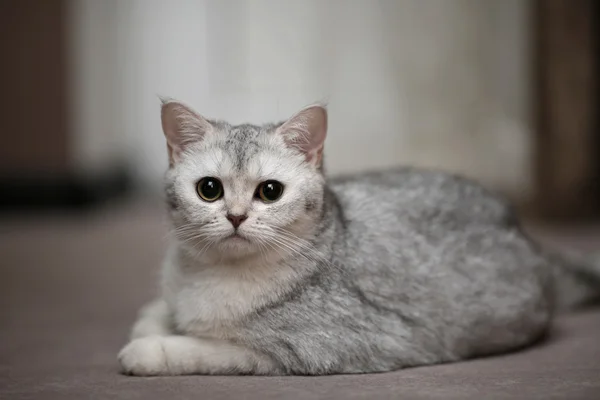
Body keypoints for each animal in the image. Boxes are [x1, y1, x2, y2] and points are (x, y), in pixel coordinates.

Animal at [117, 99, 600, 376]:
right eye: (209, 189)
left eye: (269, 192)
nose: (236, 216)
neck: (210, 275)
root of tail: (524, 231)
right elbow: (158, 309)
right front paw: (152, 320)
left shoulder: (300, 350)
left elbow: (202, 347)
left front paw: (146, 349)